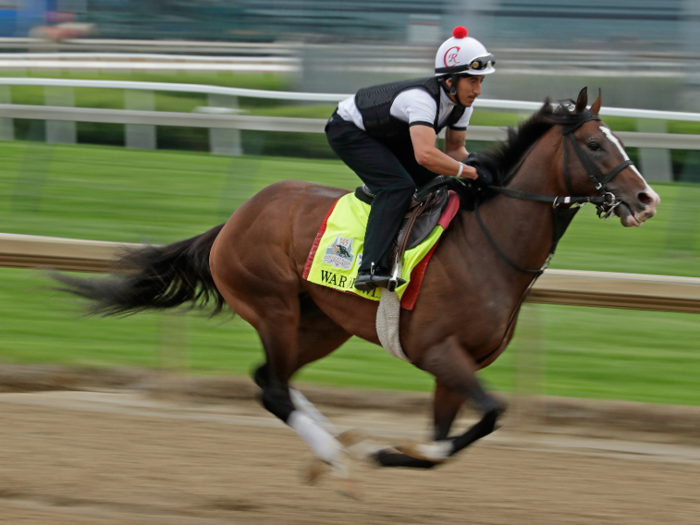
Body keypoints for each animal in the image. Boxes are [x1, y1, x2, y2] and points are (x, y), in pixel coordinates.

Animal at [54, 89, 660, 478]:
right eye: (596, 144)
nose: (647, 198)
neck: (491, 245)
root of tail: (234, 220)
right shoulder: (441, 353)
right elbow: (486, 416)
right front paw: (380, 453)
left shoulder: (455, 365)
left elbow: (448, 439)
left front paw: (394, 453)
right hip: (272, 306)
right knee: (273, 386)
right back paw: (335, 454)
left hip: (323, 324)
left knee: (269, 378)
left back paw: (334, 441)